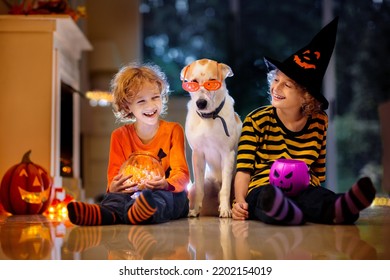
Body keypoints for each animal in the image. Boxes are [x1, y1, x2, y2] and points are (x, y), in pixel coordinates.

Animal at [181, 58, 242, 218]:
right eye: (194, 82)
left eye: (212, 82)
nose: (201, 103)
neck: (209, 117)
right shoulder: (198, 154)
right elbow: (199, 189)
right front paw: (195, 210)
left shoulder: (227, 154)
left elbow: (225, 188)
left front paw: (226, 209)